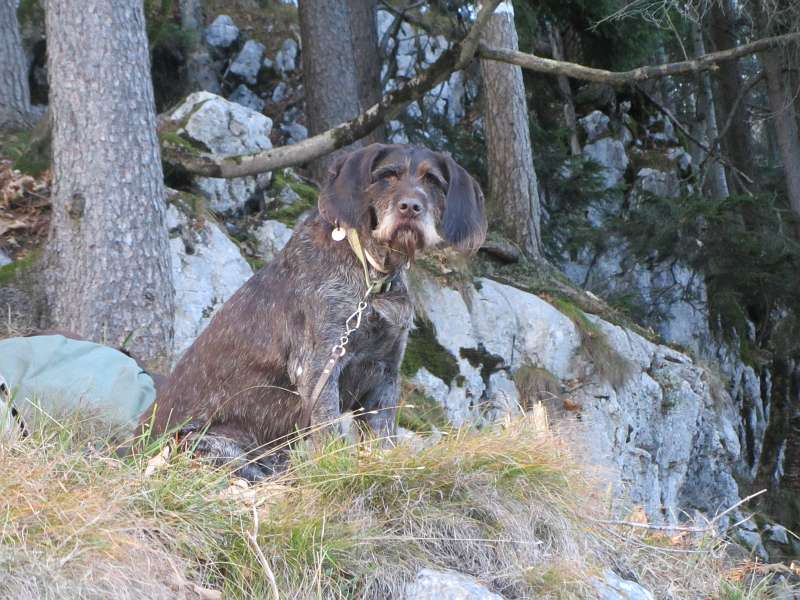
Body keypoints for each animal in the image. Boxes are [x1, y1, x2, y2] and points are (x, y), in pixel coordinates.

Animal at [142, 143, 486, 480]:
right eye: (387, 175)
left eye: (433, 181)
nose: (410, 207)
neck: (372, 277)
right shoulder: (320, 365)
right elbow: (330, 431)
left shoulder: (385, 373)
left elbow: (383, 436)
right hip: (203, 442)